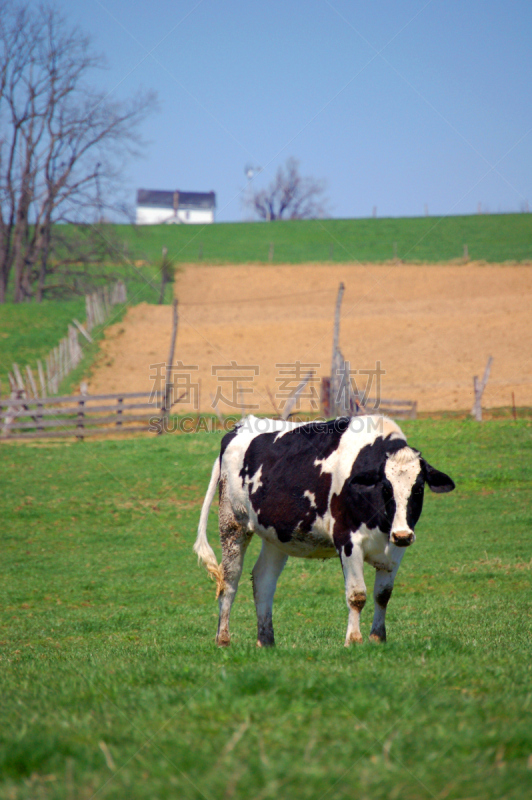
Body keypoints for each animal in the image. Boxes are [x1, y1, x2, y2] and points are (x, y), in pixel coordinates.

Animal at [194, 416, 454, 648]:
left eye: (418, 488)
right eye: (386, 488)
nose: (402, 535)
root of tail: (239, 426)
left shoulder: (395, 548)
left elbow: (383, 595)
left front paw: (377, 638)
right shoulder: (348, 541)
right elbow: (357, 595)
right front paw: (354, 641)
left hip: (276, 535)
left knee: (263, 580)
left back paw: (266, 641)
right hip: (232, 522)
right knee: (229, 580)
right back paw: (223, 639)